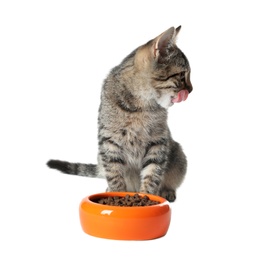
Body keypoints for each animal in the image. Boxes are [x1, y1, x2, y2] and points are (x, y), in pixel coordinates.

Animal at [47, 25, 192, 201]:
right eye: (182, 75)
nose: (191, 89)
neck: (142, 105)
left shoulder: (158, 143)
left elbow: (152, 174)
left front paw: (147, 197)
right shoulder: (109, 142)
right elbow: (115, 174)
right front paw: (115, 195)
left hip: (178, 155)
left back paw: (167, 192)